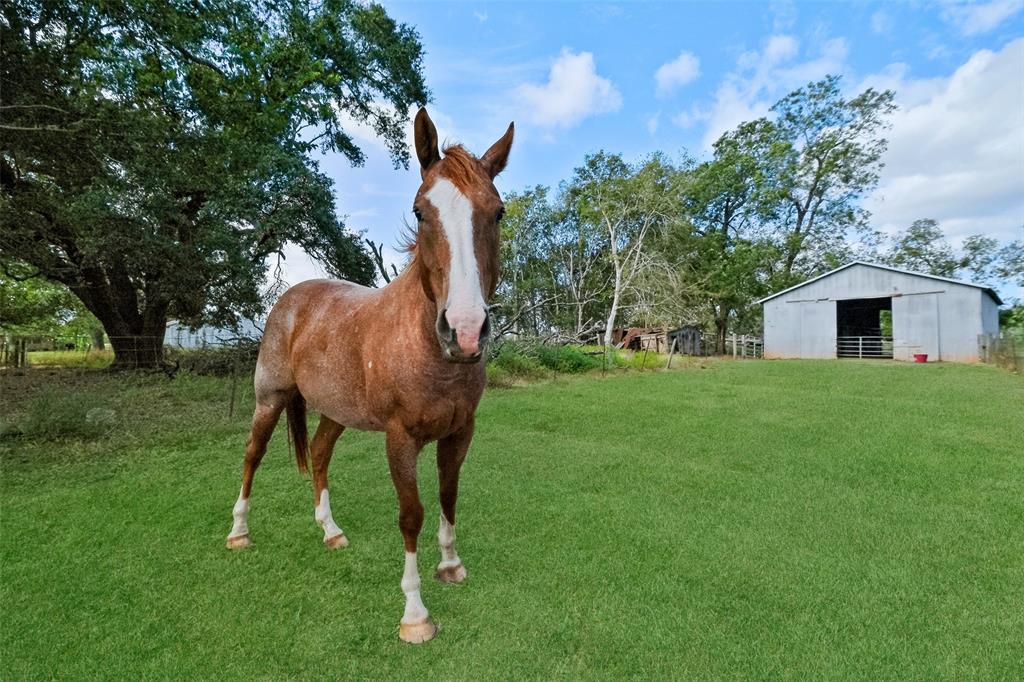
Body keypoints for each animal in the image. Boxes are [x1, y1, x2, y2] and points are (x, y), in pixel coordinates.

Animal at [224, 107, 512, 643]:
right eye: (420, 211)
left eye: (498, 211)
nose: (464, 331)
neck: (427, 352)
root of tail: (292, 298)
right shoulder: (399, 439)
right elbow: (411, 514)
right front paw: (415, 614)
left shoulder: (460, 432)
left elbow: (448, 495)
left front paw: (450, 566)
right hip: (269, 400)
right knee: (252, 456)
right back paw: (238, 532)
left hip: (335, 412)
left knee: (318, 455)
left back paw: (331, 531)